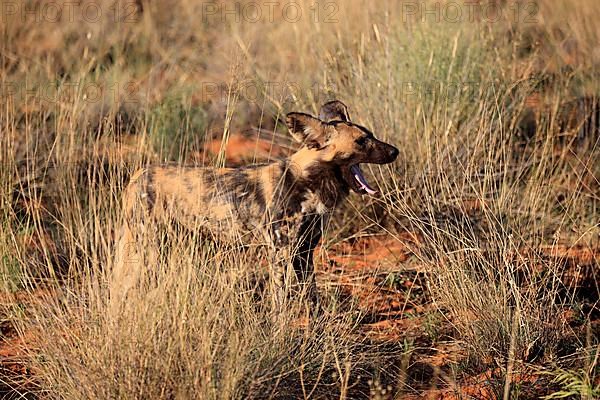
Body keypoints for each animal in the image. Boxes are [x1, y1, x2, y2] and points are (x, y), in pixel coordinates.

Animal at [112, 100, 400, 310]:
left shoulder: (304, 253)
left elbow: (312, 298)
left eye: (371, 136)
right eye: (361, 141)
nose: (395, 151)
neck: (306, 183)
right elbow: (280, 302)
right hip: (146, 250)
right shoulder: (280, 253)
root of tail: (137, 174)